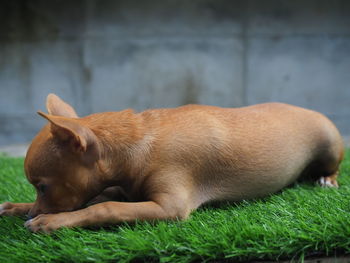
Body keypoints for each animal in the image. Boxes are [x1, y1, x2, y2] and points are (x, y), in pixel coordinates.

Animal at [0, 94, 344, 233]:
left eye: (43, 187)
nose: (31, 213)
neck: (138, 140)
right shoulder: (120, 187)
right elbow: (97, 199)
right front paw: (18, 207)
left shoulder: (169, 207)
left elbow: (104, 207)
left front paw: (48, 221)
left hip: (330, 145)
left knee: (332, 166)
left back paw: (327, 180)